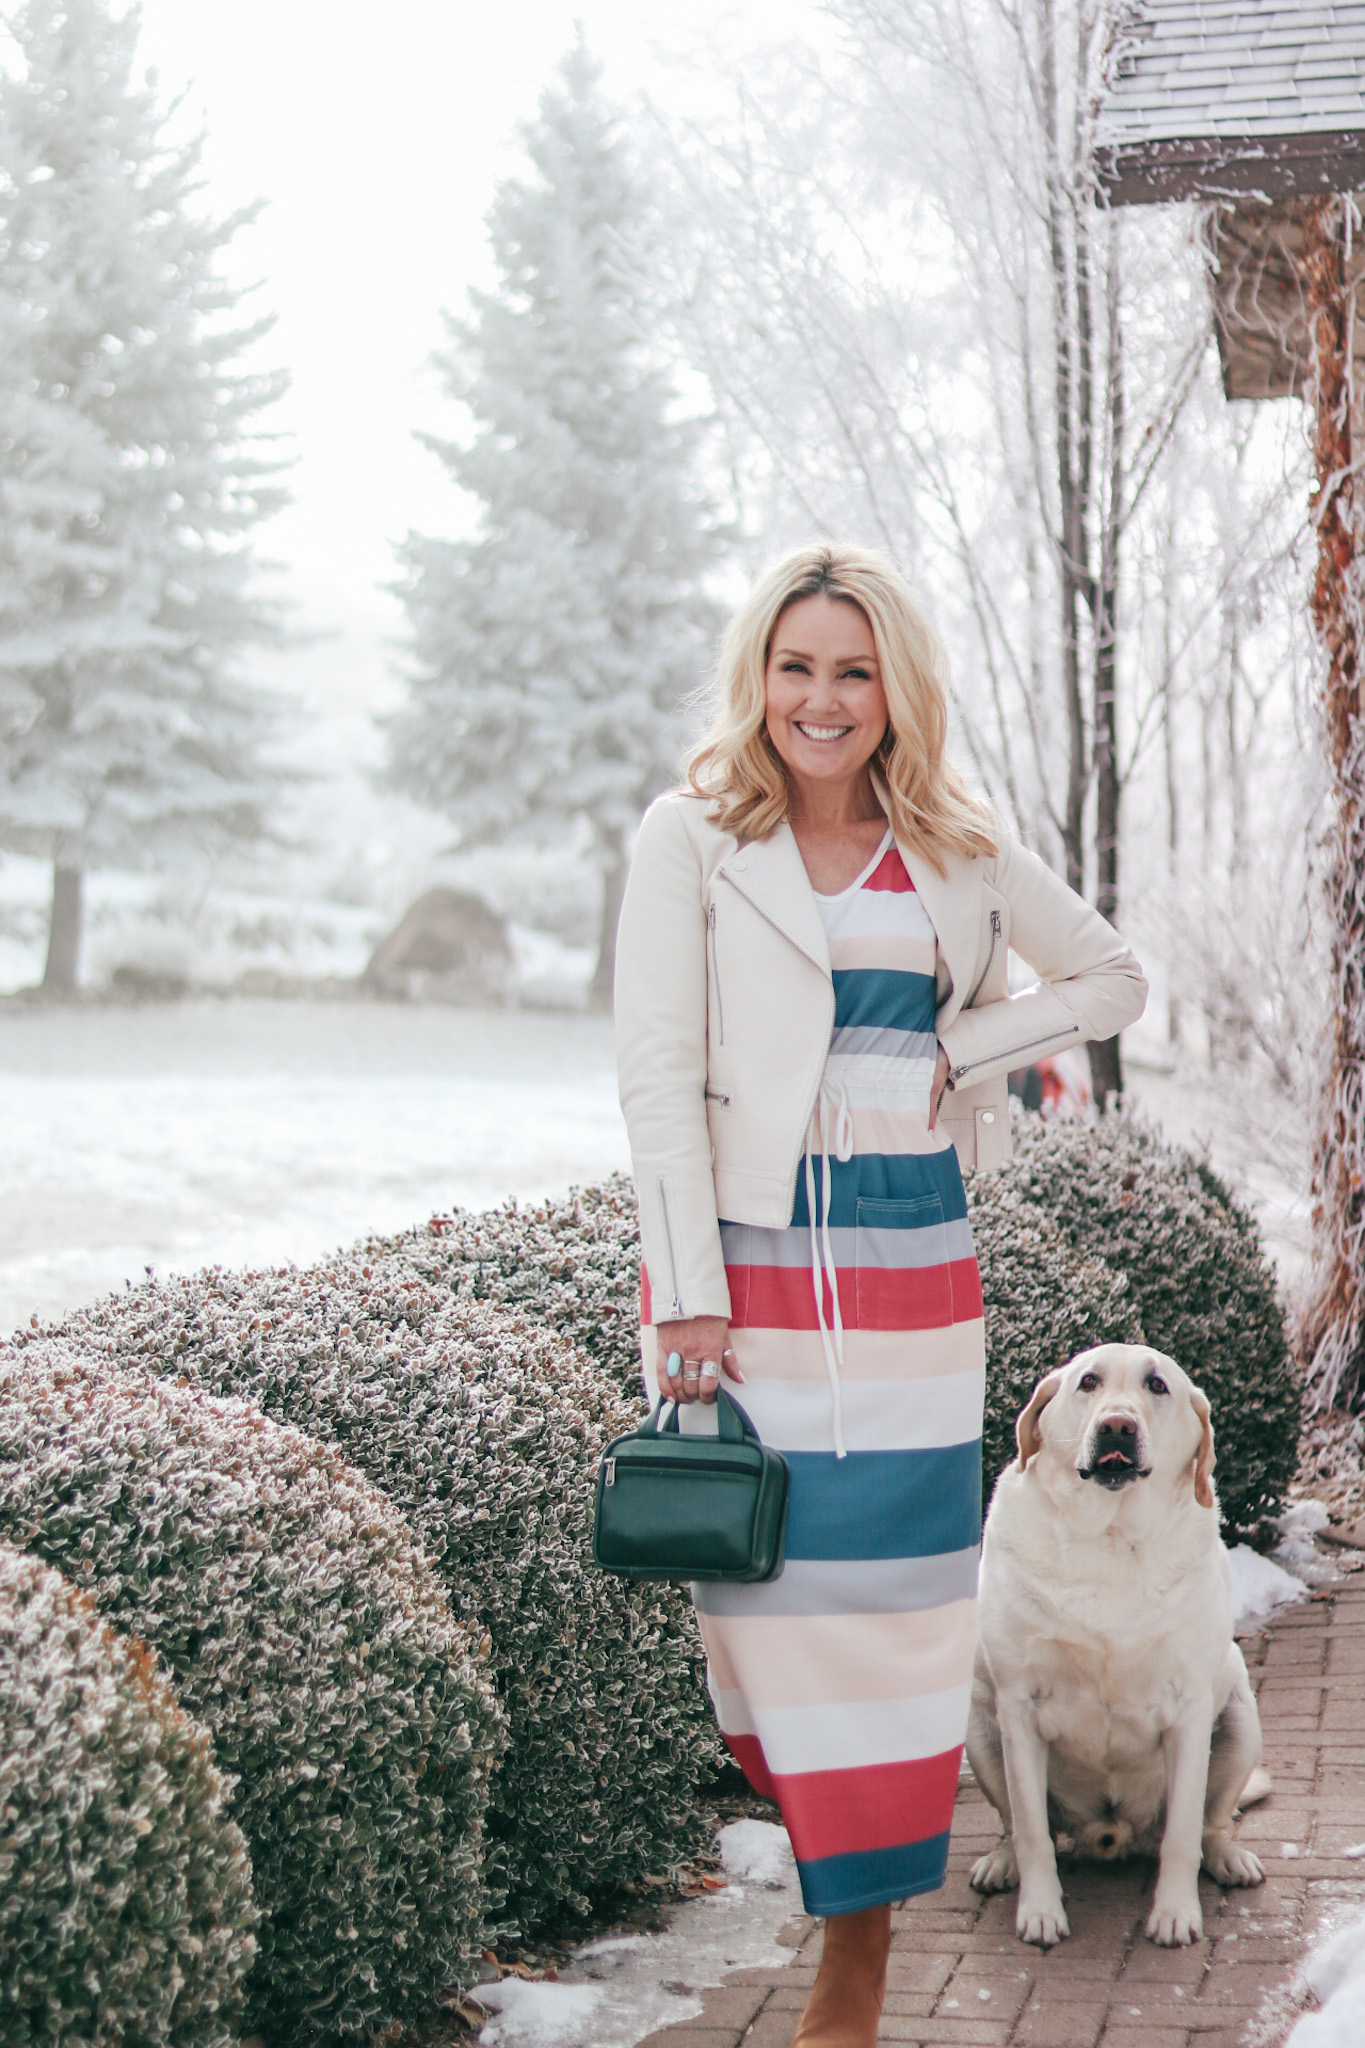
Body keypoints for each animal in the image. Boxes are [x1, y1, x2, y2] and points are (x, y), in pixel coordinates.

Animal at [965, 1343, 1268, 1949]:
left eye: (1157, 1385)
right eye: (1088, 1382)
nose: (1117, 1426)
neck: (1108, 1538)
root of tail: (1110, 1833)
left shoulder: (1190, 1707)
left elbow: (1182, 1835)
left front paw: (1175, 1912)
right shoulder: (1018, 1707)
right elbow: (1032, 1830)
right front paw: (1040, 1911)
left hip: (1241, 1719)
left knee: (1210, 1823)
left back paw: (1228, 1858)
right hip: (980, 1729)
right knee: (1013, 1823)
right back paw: (1001, 1863)